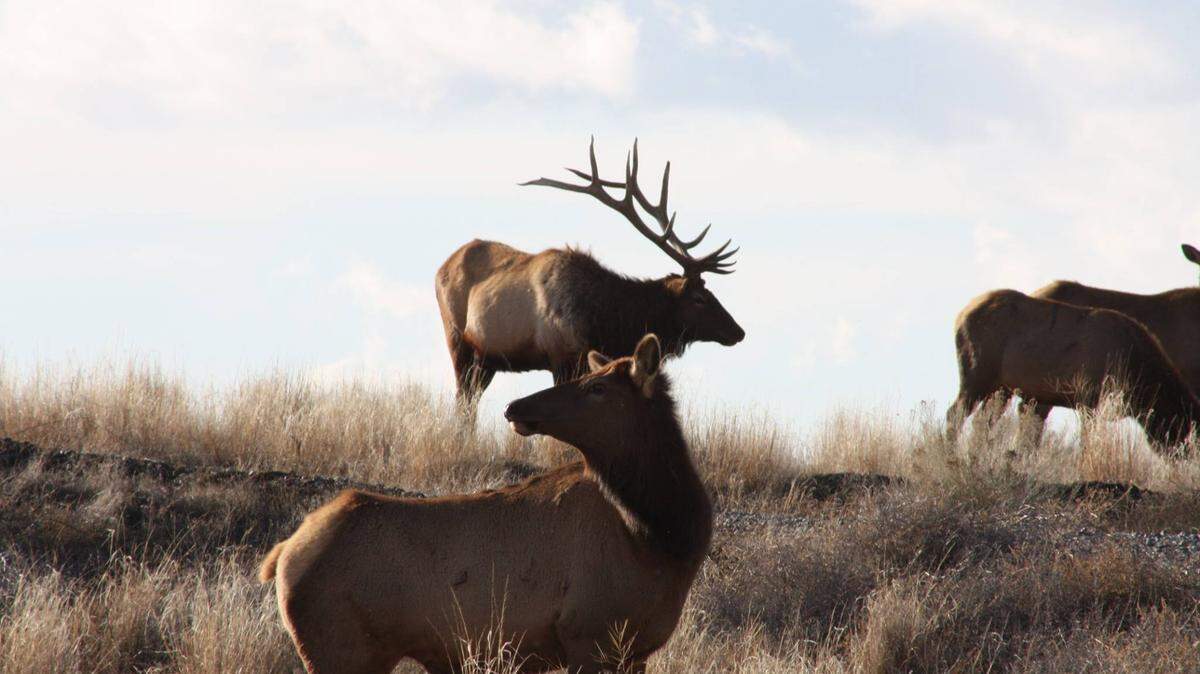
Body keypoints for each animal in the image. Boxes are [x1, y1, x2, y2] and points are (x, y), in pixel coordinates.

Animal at [259, 334, 713, 674]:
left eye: (597, 387)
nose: (515, 406)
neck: (661, 538)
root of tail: (282, 555)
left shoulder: (633, 649)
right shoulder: (588, 635)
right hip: (342, 650)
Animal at [436, 139, 744, 418]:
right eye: (699, 298)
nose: (738, 331)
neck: (605, 324)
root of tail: (441, 267)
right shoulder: (561, 357)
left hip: (486, 359)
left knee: (470, 402)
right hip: (458, 341)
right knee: (463, 399)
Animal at [946, 289, 1200, 451]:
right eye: (1186, 429)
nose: (1185, 459)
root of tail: (960, 315)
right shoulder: (1089, 397)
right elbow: (1087, 441)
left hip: (1002, 388)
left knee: (982, 422)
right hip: (976, 375)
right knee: (955, 414)